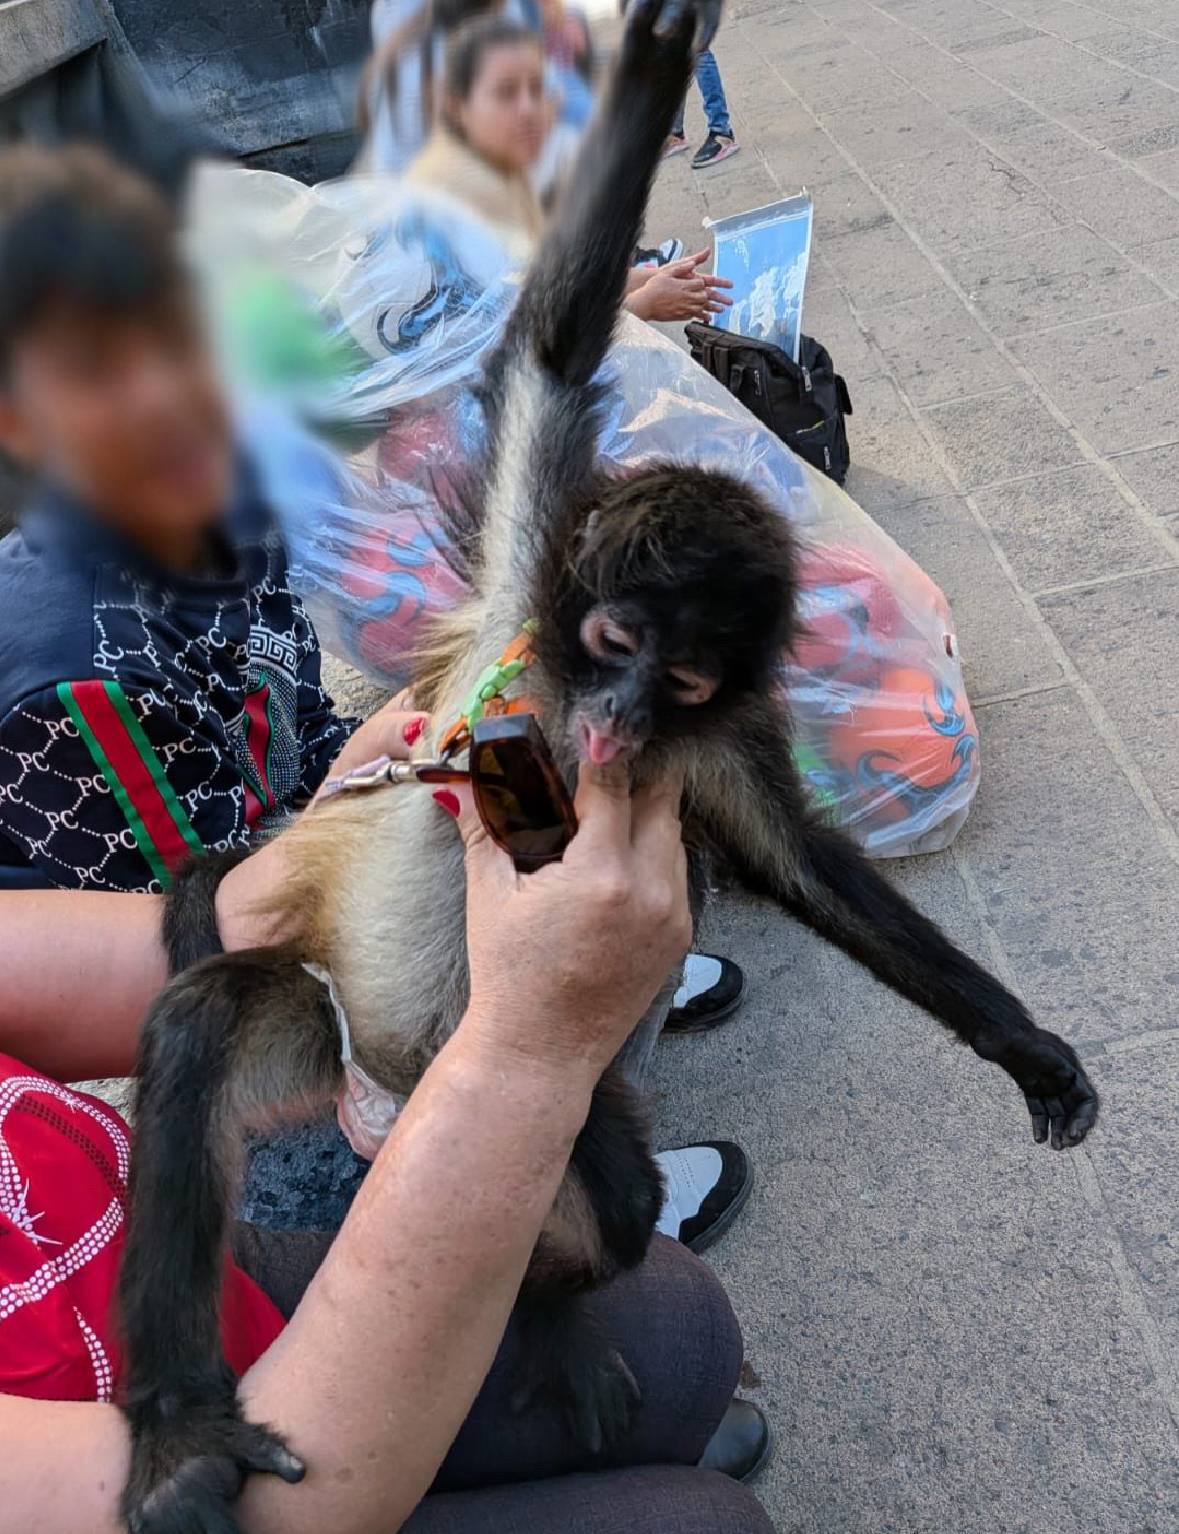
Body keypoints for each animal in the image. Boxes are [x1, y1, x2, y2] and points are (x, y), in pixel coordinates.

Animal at [115, 1, 1100, 1529]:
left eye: (679, 678)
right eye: (614, 636)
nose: (623, 713)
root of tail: (383, 1099)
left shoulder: (710, 734)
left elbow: (802, 864)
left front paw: (1026, 1048)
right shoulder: (526, 579)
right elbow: (548, 341)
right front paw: (646, 54)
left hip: (504, 1119)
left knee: (614, 1206)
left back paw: (545, 1316)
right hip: (338, 1031)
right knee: (202, 1024)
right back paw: (179, 1437)